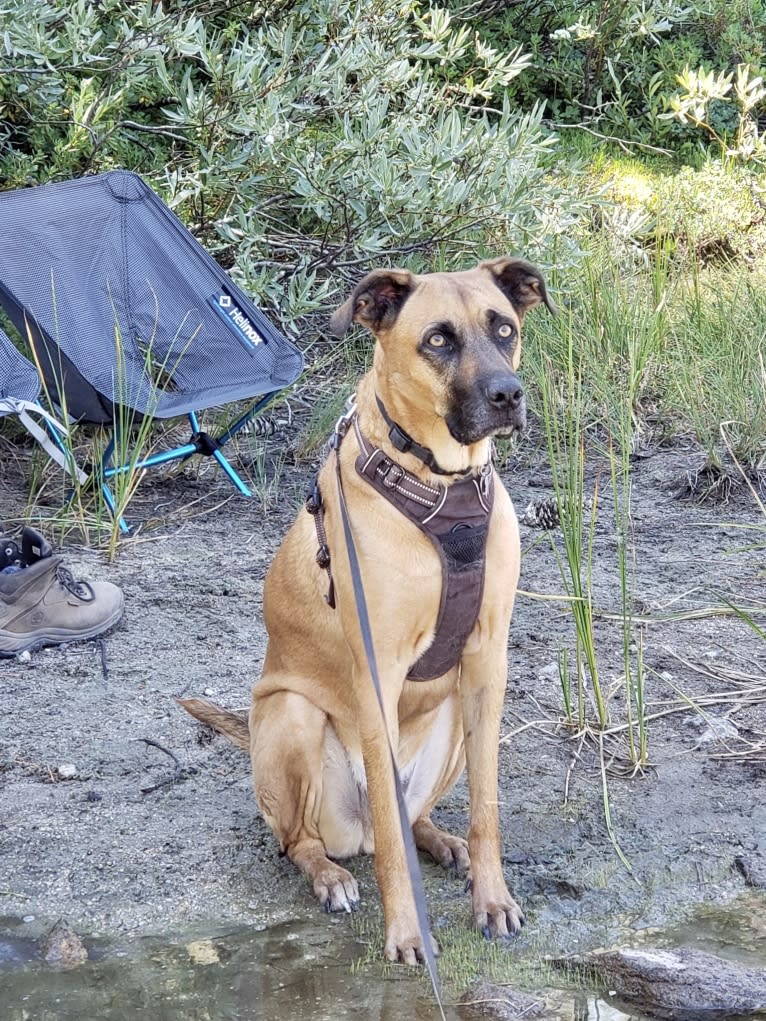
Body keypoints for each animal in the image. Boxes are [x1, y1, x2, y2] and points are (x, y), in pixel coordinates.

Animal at [182, 259, 555, 959]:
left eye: (504, 328)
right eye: (437, 340)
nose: (508, 394)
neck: (440, 482)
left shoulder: (487, 661)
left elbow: (487, 810)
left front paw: (492, 900)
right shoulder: (378, 671)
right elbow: (389, 844)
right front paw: (406, 932)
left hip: (453, 717)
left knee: (412, 818)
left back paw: (442, 841)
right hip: (292, 716)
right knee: (307, 840)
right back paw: (330, 875)